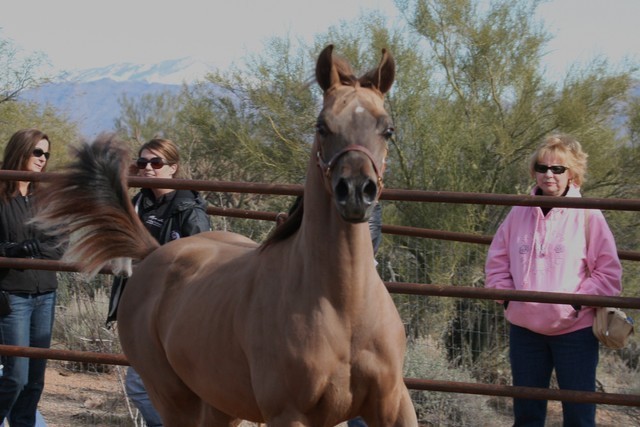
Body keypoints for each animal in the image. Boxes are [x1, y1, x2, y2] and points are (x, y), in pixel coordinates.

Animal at [35, 45, 417, 427]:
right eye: (322, 126)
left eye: (388, 129)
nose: (355, 192)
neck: (343, 307)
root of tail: (155, 253)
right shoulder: (289, 414)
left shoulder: (393, 404)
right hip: (174, 398)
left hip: (221, 401)